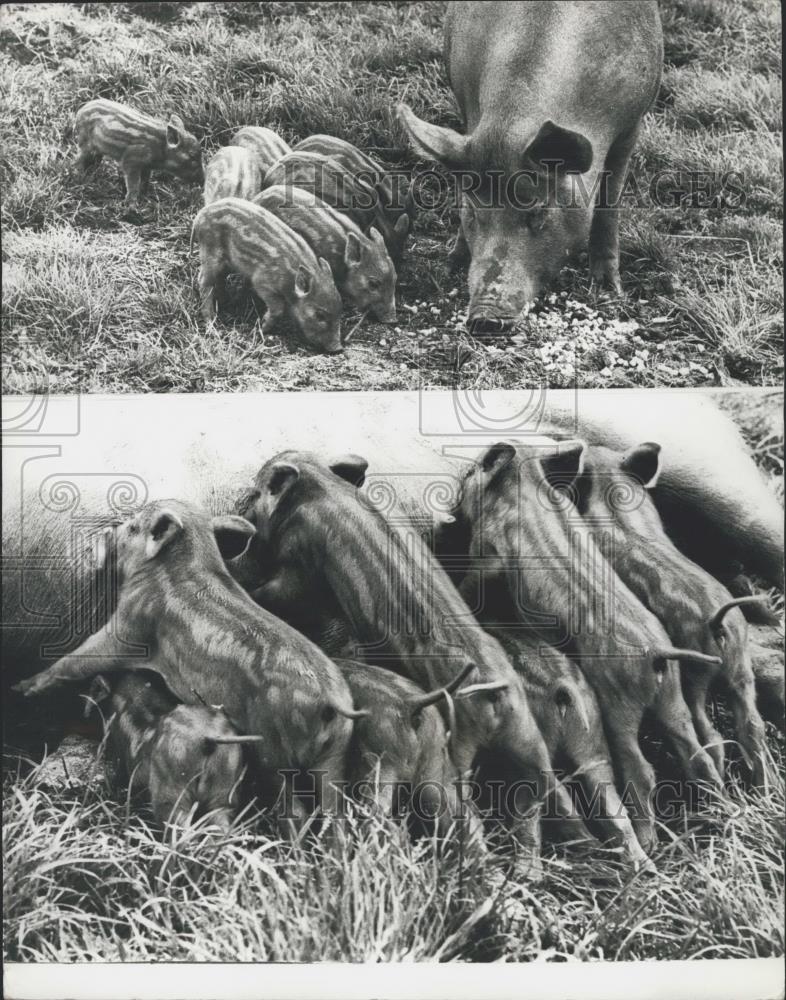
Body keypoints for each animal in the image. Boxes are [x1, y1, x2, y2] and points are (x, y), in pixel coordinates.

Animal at [398, 0, 660, 332]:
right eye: (473, 212)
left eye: (538, 213)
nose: (485, 318)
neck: (513, 123)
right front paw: (451, 265)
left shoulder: (631, 124)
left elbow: (608, 205)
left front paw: (609, 290)